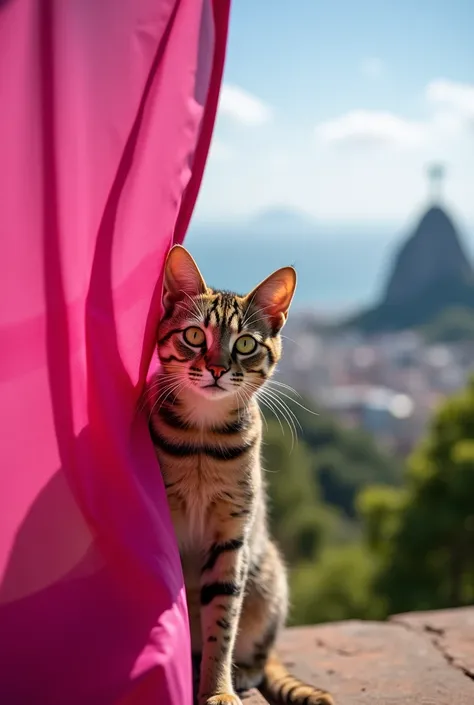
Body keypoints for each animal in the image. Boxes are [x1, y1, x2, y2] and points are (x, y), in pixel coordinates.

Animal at [148, 246, 334, 704]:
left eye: (246, 343)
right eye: (195, 336)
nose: (216, 368)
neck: (202, 439)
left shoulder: (232, 536)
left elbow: (223, 623)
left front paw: (219, 689)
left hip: (269, 582)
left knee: (258, 654)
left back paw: (243, 672)